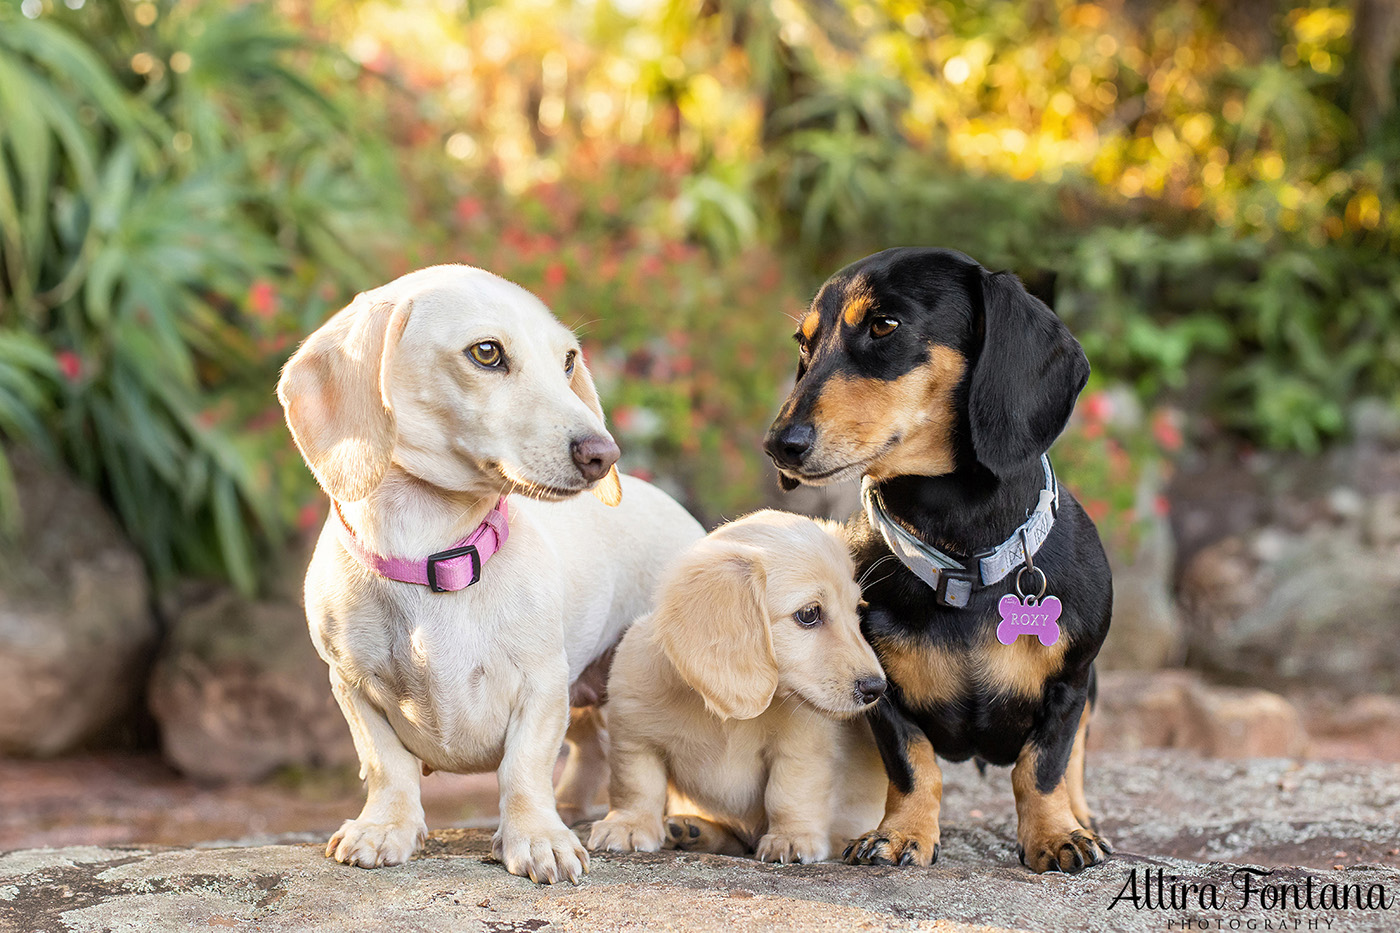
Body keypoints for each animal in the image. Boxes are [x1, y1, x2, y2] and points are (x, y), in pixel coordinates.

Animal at [278, 263, 705, 879]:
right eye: (486, 353)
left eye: (568, 360)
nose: (604, 455)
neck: (436, 552)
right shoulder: (351, 685)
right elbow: (385, 764)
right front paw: (384, 828)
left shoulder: (541, 684)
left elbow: (523, 767)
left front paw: (537, 838)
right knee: (593, 749)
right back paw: (570, 807)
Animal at [588, 509, 884, 857]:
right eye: (810, 613)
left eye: (857, 612)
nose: (877, 688)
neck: (725, 716)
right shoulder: (634, 738)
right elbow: (636, 785)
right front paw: (629, 824)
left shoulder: (800, 750)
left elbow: (789, 793)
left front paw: (792, 837)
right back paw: (692, 830)